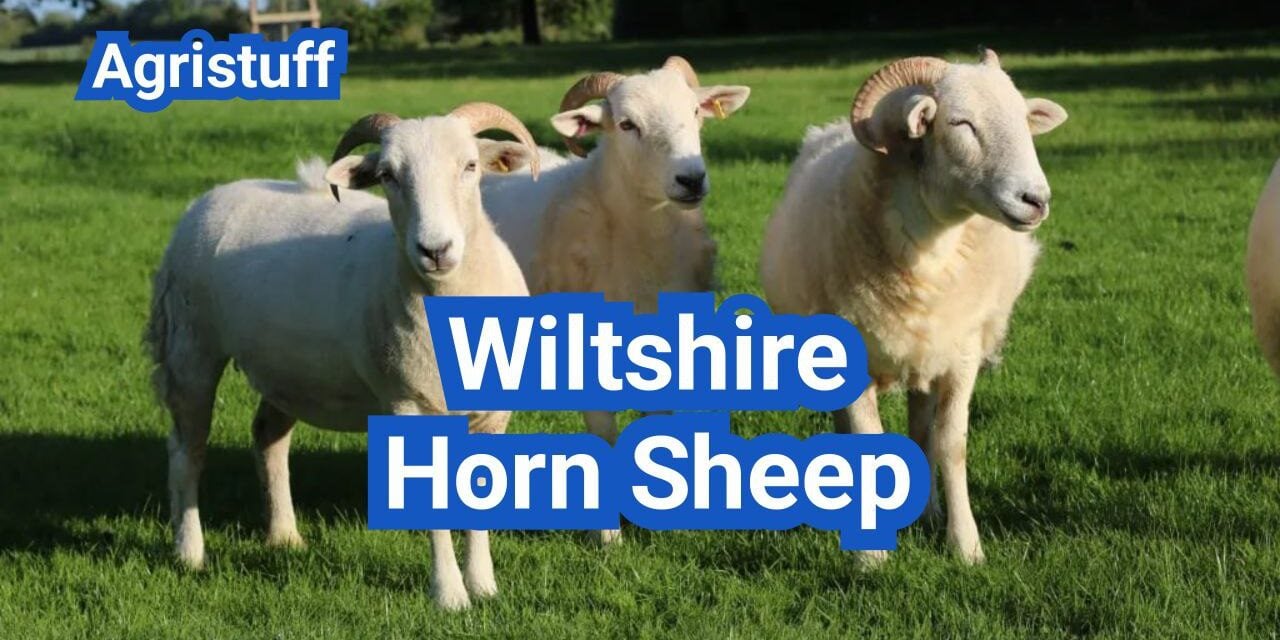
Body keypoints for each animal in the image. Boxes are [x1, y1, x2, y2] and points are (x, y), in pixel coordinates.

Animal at [144, 103, 540, 610]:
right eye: (388, 175)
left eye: (470, 166)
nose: (435, 250)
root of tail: (212, 196)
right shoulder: (407, 403)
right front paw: (450, 595)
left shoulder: (493, 412)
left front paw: (485, 586)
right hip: (191, 346)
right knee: (186, 451)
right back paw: (189, 552)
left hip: (289, 369)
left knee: (268, 438)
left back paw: (284, 536)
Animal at [480, 57, 750, 542]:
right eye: (626, 124)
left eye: (695, 112)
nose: (691, 179)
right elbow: (602, 431)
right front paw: (607, 535)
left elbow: (657, 427)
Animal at [760, 50, 1068, 565]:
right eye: (961, 123)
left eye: (1025, 120)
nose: (1036, 200)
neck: (931, 250)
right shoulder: (850, 359)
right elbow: (863, 444)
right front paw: (870, 557)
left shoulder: (961, 353)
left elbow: (950, 444)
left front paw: (966, 547)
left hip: (928, 352)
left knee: (921, 431)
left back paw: (928, 513)